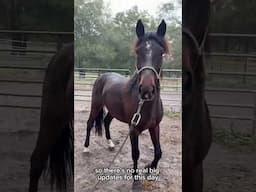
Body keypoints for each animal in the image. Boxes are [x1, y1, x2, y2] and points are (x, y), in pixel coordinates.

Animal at [83, 19, 169, 178]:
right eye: (138, 51)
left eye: (161, 53)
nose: (146, 90)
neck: (145, 104)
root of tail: (102, 76)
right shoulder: (133, 129)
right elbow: (135, 154)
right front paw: (135, 178)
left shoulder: (155, 126)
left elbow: (158, 152)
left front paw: (150, 168)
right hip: (96, 105)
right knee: (89, 123)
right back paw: (86, 148)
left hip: (112, 110)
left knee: (106, 122)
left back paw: (110, 144)